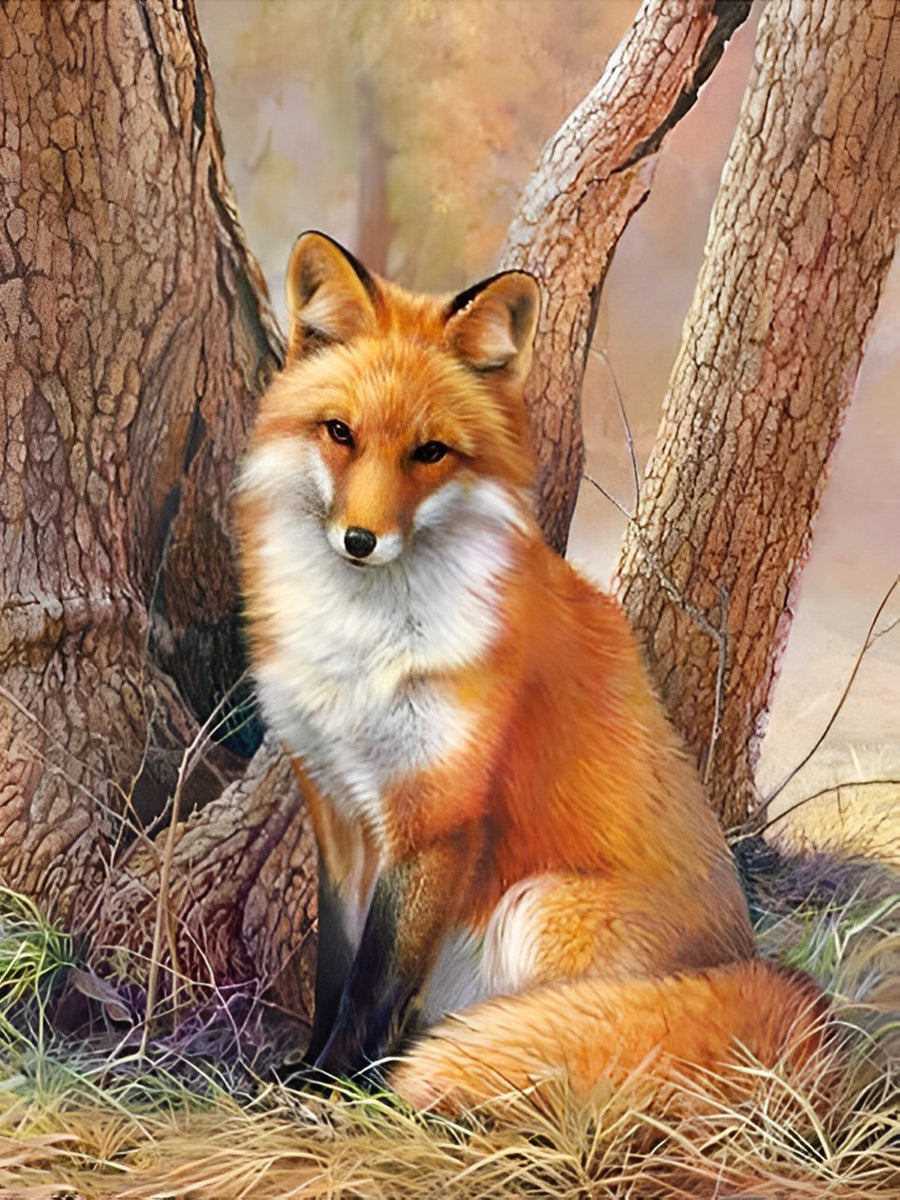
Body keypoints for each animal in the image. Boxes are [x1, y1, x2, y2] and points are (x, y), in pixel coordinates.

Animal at [235, 231, 829, 1114]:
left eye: (431, 453)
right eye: (338, 432)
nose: (360, 541)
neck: (364, 646)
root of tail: (749, 964)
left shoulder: (437, 816)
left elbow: (377, 979)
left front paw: (337, 1087)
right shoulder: (336, 810)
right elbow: (334, 968)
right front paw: (308, 1067)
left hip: (537, 907)